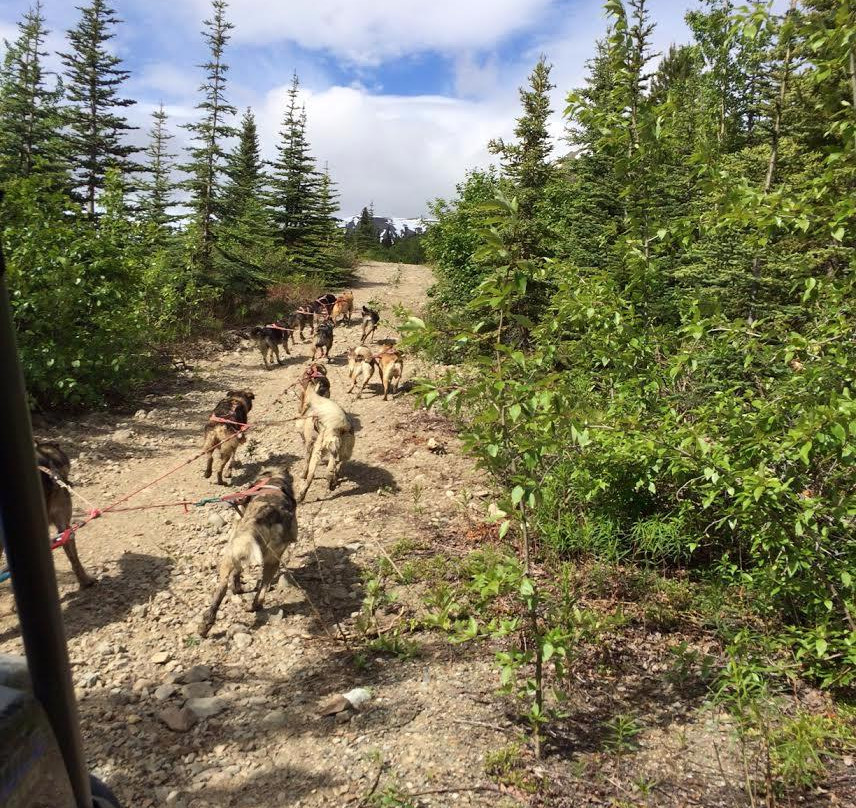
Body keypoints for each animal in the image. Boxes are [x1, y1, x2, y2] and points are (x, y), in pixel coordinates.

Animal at [198, 468, 298, 636]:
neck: (273, 480)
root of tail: (270, 512)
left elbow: (236, 572)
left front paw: (237, 587)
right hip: (273, 561)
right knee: (263, 589)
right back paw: (255, 605)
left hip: (230, 555)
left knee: (222, 587)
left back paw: (206, 623)